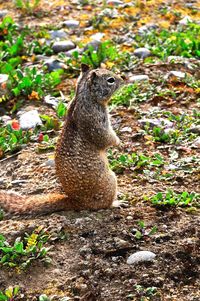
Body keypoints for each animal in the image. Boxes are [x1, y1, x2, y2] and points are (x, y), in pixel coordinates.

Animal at [0, 64, 123, 214]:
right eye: (110, 80)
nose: (123, 80)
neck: (84, 96)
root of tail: (75, 202)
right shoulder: (95, 119)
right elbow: (104, 138)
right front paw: (118, 142)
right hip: (111, 180)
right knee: (104, 204)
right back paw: (116, 203)